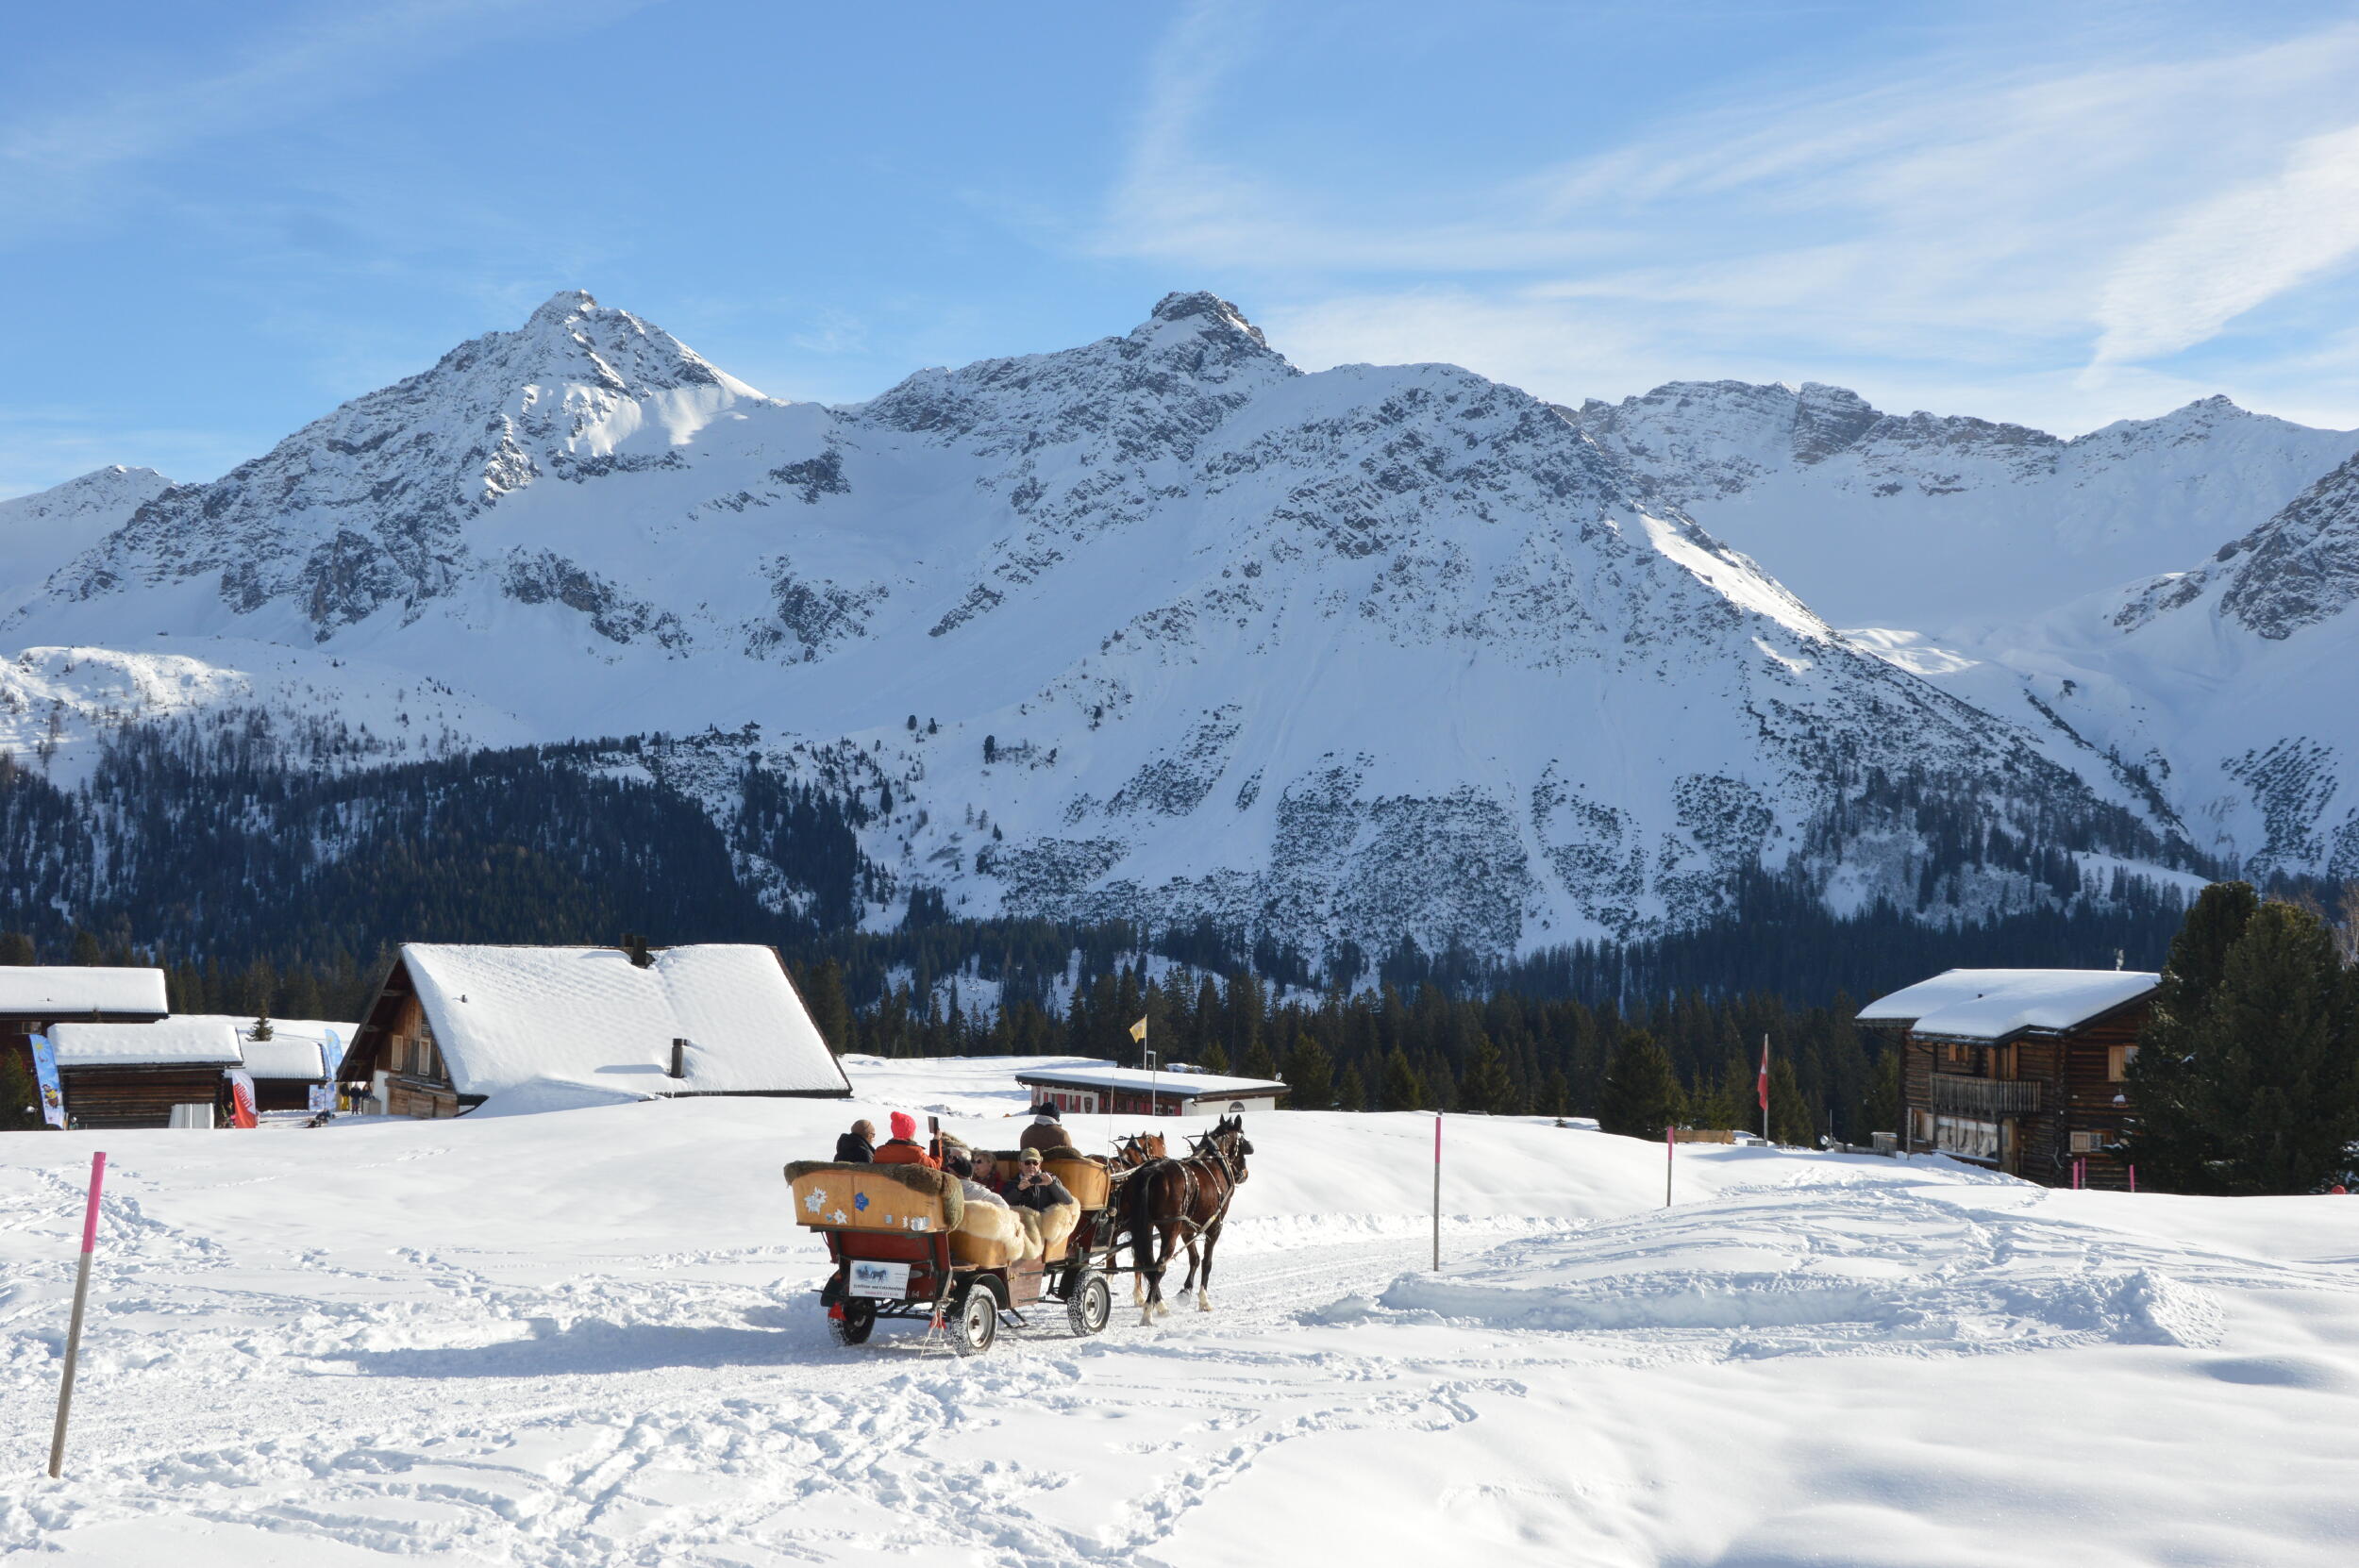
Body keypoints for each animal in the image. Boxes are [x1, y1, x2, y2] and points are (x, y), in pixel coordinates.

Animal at [1123, 1112, 1255, 1320]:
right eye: (1243, 1141)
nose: (1245, 1173)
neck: (1214, 1161)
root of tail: (1151, 1172)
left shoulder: (1187, 1229)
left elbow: (1195, 1258)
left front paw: (1185, 1291)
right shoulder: (1214, 1226)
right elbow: (1207, 1262)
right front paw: (1204, 1300)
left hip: (1147, 1227)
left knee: (1148, 1264)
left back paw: (1158, 1304)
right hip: (1170, 1230)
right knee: (1159, 1265)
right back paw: (1149, 1311)